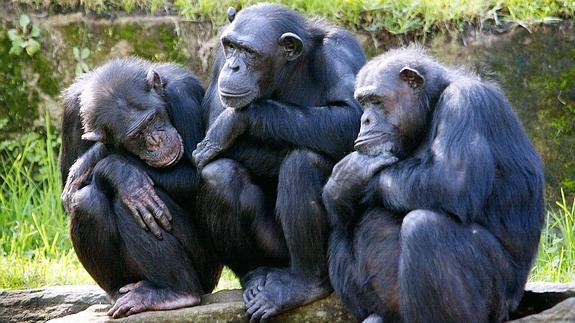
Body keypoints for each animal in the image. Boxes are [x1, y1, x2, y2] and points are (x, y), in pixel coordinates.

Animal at [60, 57, 222, 318]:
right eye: (136, 135)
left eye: (153, 119)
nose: (156, 140)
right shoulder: (70, 112)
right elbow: (67, 193)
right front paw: (123, 174)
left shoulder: (184, 95)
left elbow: (196, 172)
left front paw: (107, 163)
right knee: (86, 201)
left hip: (206, 265)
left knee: (129, 204)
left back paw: (177, 292)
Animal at [191, 3, 366, 322]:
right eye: (231, 47)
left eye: (249, 52)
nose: (233, 67)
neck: (288, 70)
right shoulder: (218, 59)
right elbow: (209, 128)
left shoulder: (340, 52)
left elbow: (355, 119)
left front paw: (237, 120)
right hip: (271, 251)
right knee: (219, 175)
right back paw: (253, 276)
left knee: (303, 160)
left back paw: (303, 283)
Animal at [324, 46, 544, 323]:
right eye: (362, 102)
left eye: (375, 100)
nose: (365, 120)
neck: (430, 108)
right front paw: (339, 185)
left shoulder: (464, 103)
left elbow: (452, 180)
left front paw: (351, 173)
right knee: (340, 227)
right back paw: (374, 317)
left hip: (499, 300)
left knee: (425, 228)